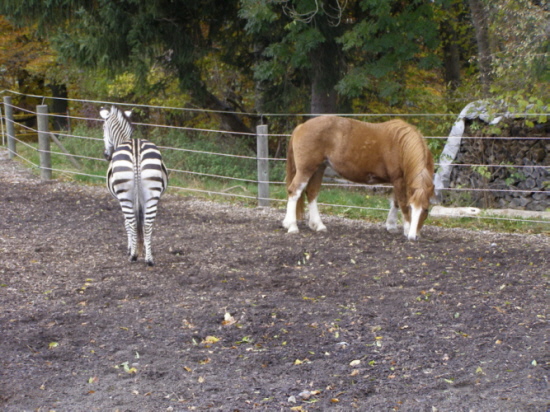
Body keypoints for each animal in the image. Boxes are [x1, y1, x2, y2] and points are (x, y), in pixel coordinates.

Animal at [99, 106, 168, 268]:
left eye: (103, 127)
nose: (106, 155)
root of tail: (136, 147)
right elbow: (141, 223)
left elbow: (127, 223)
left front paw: (131, 248)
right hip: (152, 195)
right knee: (148, 224)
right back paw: (149, 259)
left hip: (125, 196)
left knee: (131, 221)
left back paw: (133, 256)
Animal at [284, 114, 436, 240]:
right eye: (411, 208)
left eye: (426, 210)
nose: (413, 237)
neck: (401, 146)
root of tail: (301, 126)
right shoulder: (398, 179)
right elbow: (402, 203)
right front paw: (406, 228)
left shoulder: (398, 181)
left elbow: (396, 202)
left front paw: (391, 226)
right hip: (306, 169)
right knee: (294, 191)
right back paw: (292, 226)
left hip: (319, 168)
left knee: (312, 193)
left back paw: (318, 225)